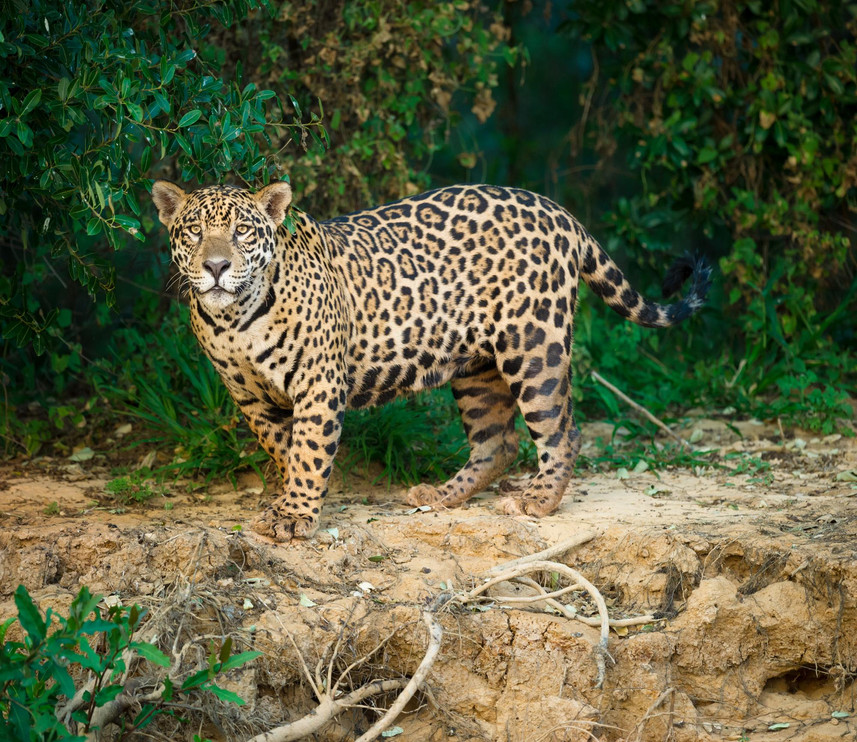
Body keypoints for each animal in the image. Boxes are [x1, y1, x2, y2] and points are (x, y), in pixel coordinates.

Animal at [152, 179, 711, 542]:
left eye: (243, 232)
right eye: (193, 232)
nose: (216, 266)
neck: (236, 318)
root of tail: (557, 210)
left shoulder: (318, 383)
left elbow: (310, 449)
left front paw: (295, 516)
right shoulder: (249, 398)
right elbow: (286, 448)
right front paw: (292, 500)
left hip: (534, 344)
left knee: (562, 429)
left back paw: (538, 499)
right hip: (477, 367)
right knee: (498, 442)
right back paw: (441, 496)